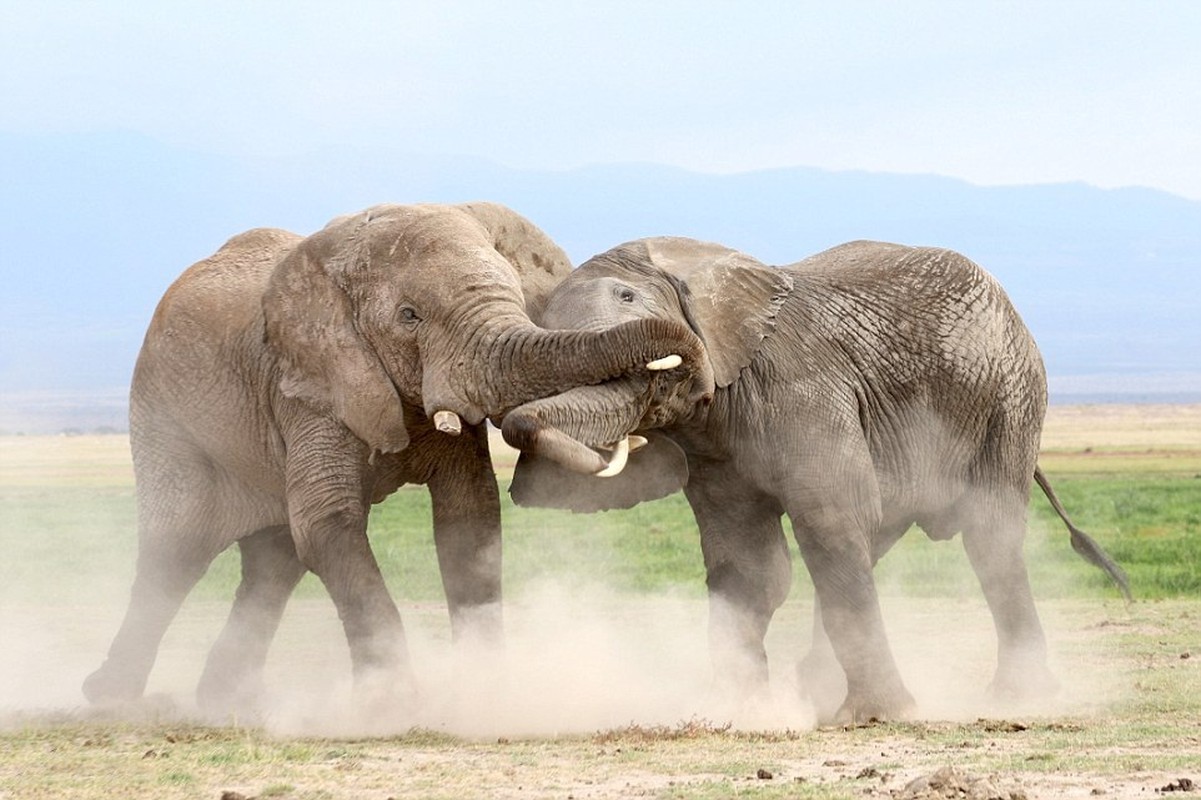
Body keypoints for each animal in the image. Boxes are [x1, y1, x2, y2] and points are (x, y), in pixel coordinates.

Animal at [82, 203, 701, 711]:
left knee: (275, 561)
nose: (682, 346)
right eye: (409, 316)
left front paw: (484, 689)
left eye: (518, 296)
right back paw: (109, 696)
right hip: (164, 417)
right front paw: (392, 704)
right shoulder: (309, 383)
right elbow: (329, 523)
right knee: (176, 551)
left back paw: (227, 699)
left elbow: (469, 517)